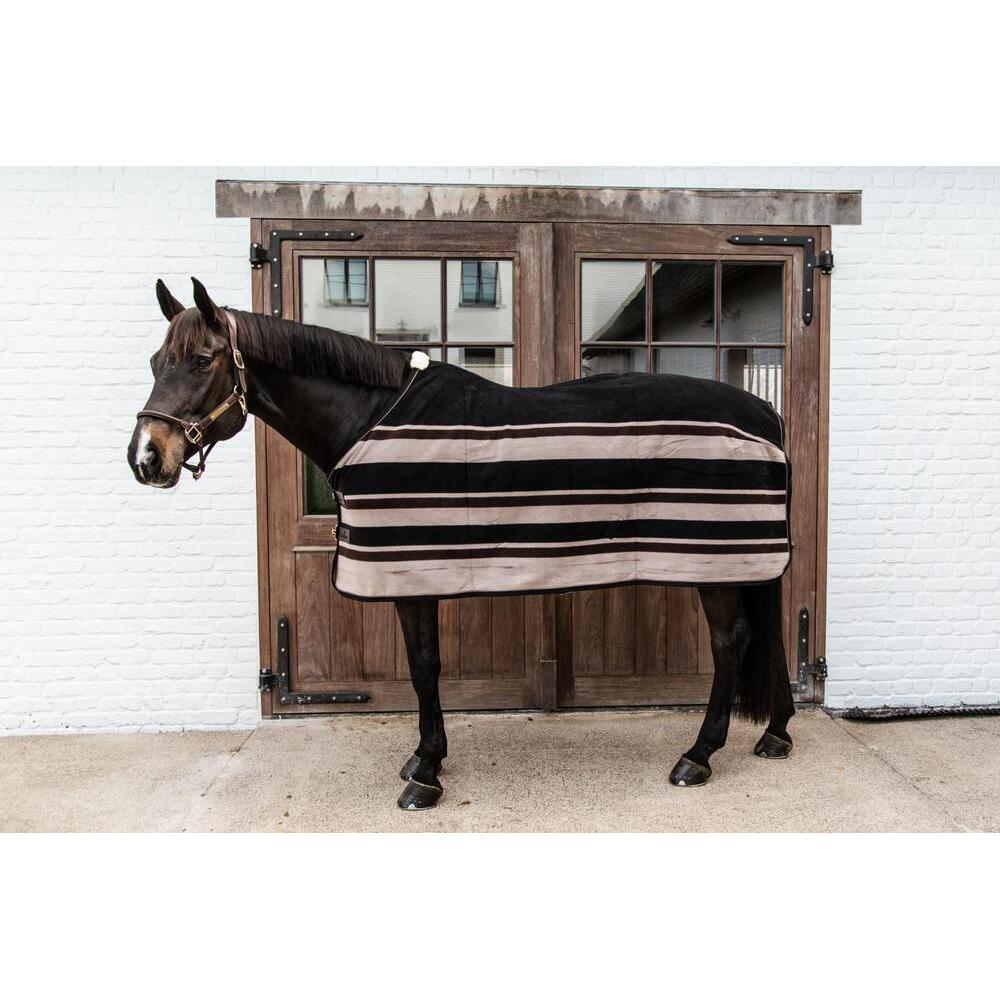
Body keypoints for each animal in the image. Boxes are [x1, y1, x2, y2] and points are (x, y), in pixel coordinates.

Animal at [128, 277, 796, 810]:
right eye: (157, 359)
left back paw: (698, 756)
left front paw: (425, 772)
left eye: (204, 359)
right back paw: (775, 733)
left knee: (730, 643)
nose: (146, 458)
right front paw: (424, 759)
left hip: (715, 560)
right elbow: (423, 666)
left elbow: (425, 666)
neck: (370, 420)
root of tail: (764, 413)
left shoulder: (412, 575)